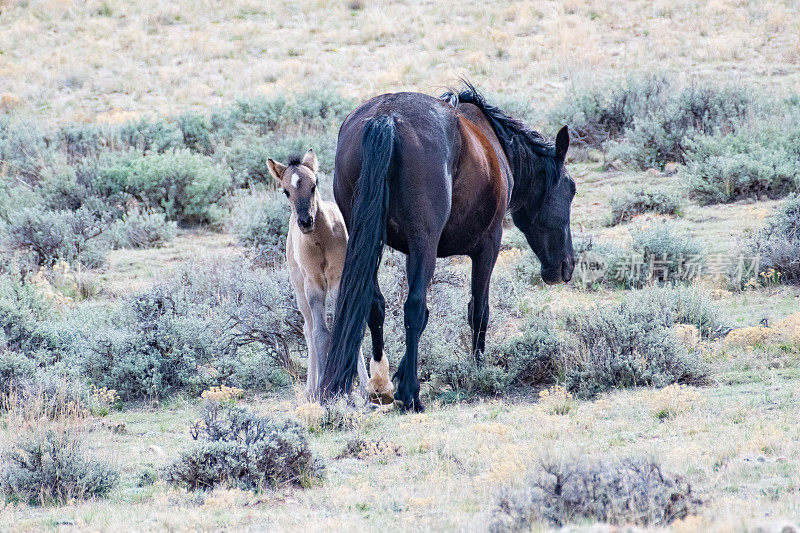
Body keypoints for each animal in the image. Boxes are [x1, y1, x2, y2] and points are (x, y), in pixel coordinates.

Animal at [268, 148, 394, 402]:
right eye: (286, 191)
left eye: (314, 184)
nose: (306, 221)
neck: (321, 241)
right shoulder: (313, 283)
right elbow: (319, 334)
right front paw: (322, 390)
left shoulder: (338, 280)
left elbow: (344, 327)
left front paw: (363, 389)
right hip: (299, 289)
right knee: (308, 330)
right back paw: (310, 389)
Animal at [318, 84, 576, 412]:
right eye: (571, 189)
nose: (566, 266)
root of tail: (385, 117)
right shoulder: (488, 246)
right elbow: (478, 310)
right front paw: (477, 370)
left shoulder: (410, 253)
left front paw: (400, 373)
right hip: (426, 243)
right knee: (413, 308)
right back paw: (412, 395)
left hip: (370, 239)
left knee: (376, 304)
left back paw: (381, 384)